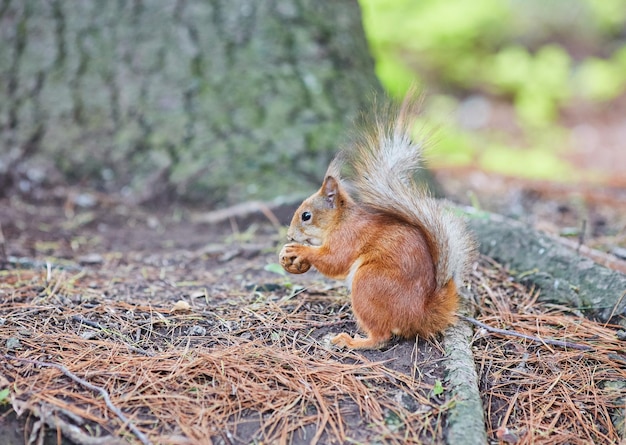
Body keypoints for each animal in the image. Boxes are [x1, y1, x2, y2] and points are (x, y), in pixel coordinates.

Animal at [278, 95, 472, 348]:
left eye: (306, 216)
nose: (289, 235)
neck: (341, 221)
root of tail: (420, 314)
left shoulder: (349, 236)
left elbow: (335, 260)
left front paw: (299, 250)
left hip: (368, 283)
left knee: (381, 337)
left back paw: (351, 341)